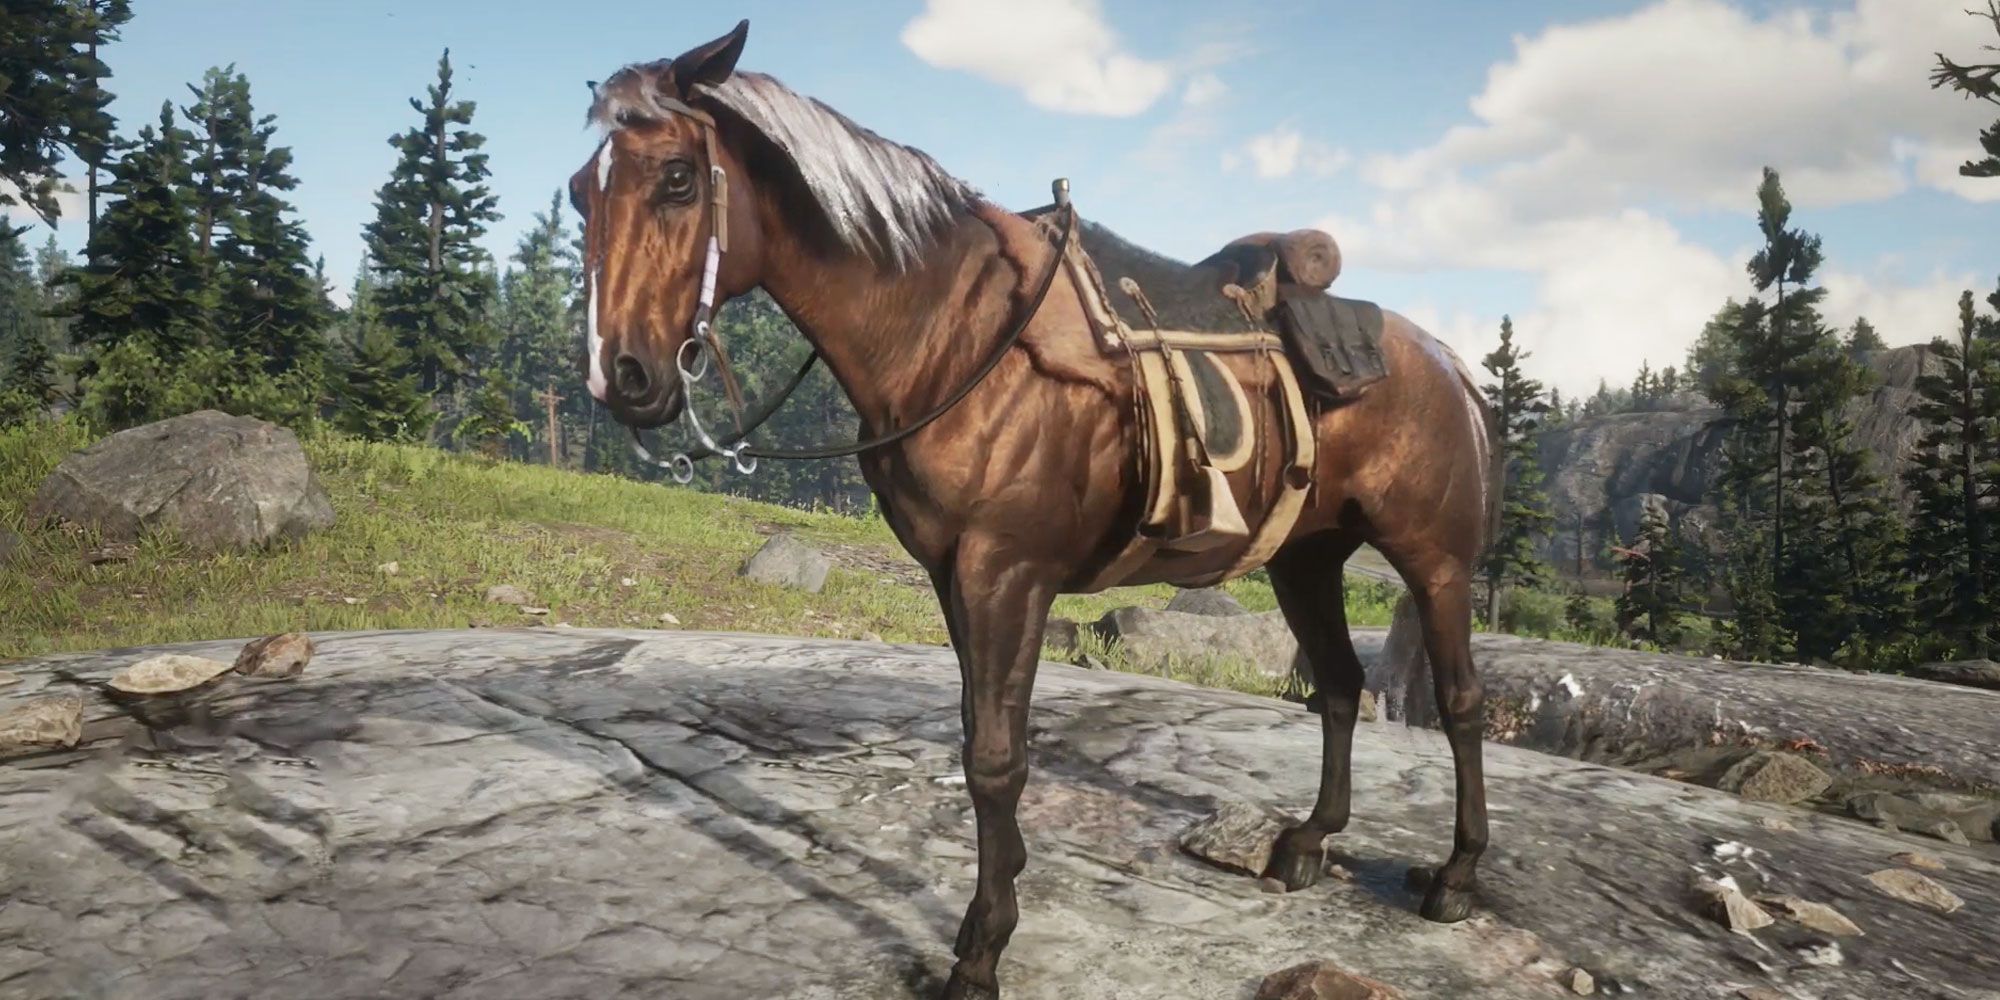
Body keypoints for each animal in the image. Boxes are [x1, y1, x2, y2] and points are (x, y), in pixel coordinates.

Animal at [569, 20, 1497, 1000]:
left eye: (679, 178)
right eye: (579, 193)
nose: (622, 376)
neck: (949, 333)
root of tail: (1448, 363)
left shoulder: (1005, 572)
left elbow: (994, 761)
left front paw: (983, 945)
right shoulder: (952, 574)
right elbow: (979, 736)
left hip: (1434, 561)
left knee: (1461, 702)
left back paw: (1455, 877)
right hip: (1305, 557)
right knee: (1342, 687)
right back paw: (1311, 842)